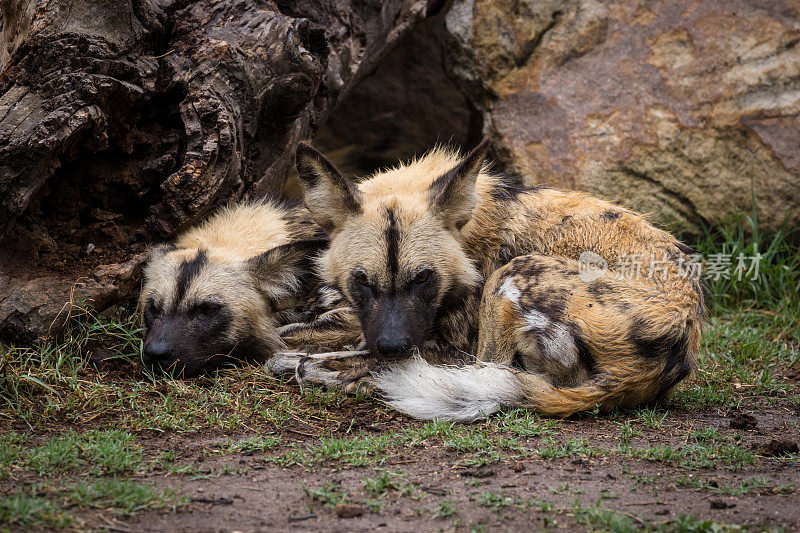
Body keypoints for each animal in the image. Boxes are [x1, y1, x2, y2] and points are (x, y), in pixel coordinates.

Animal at [270, 139, 708, 422]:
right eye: (362, 281)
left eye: (423, 278)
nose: (394, 346)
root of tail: (680, 340)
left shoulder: (450, 346)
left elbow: (299, 350)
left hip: (514, 274)